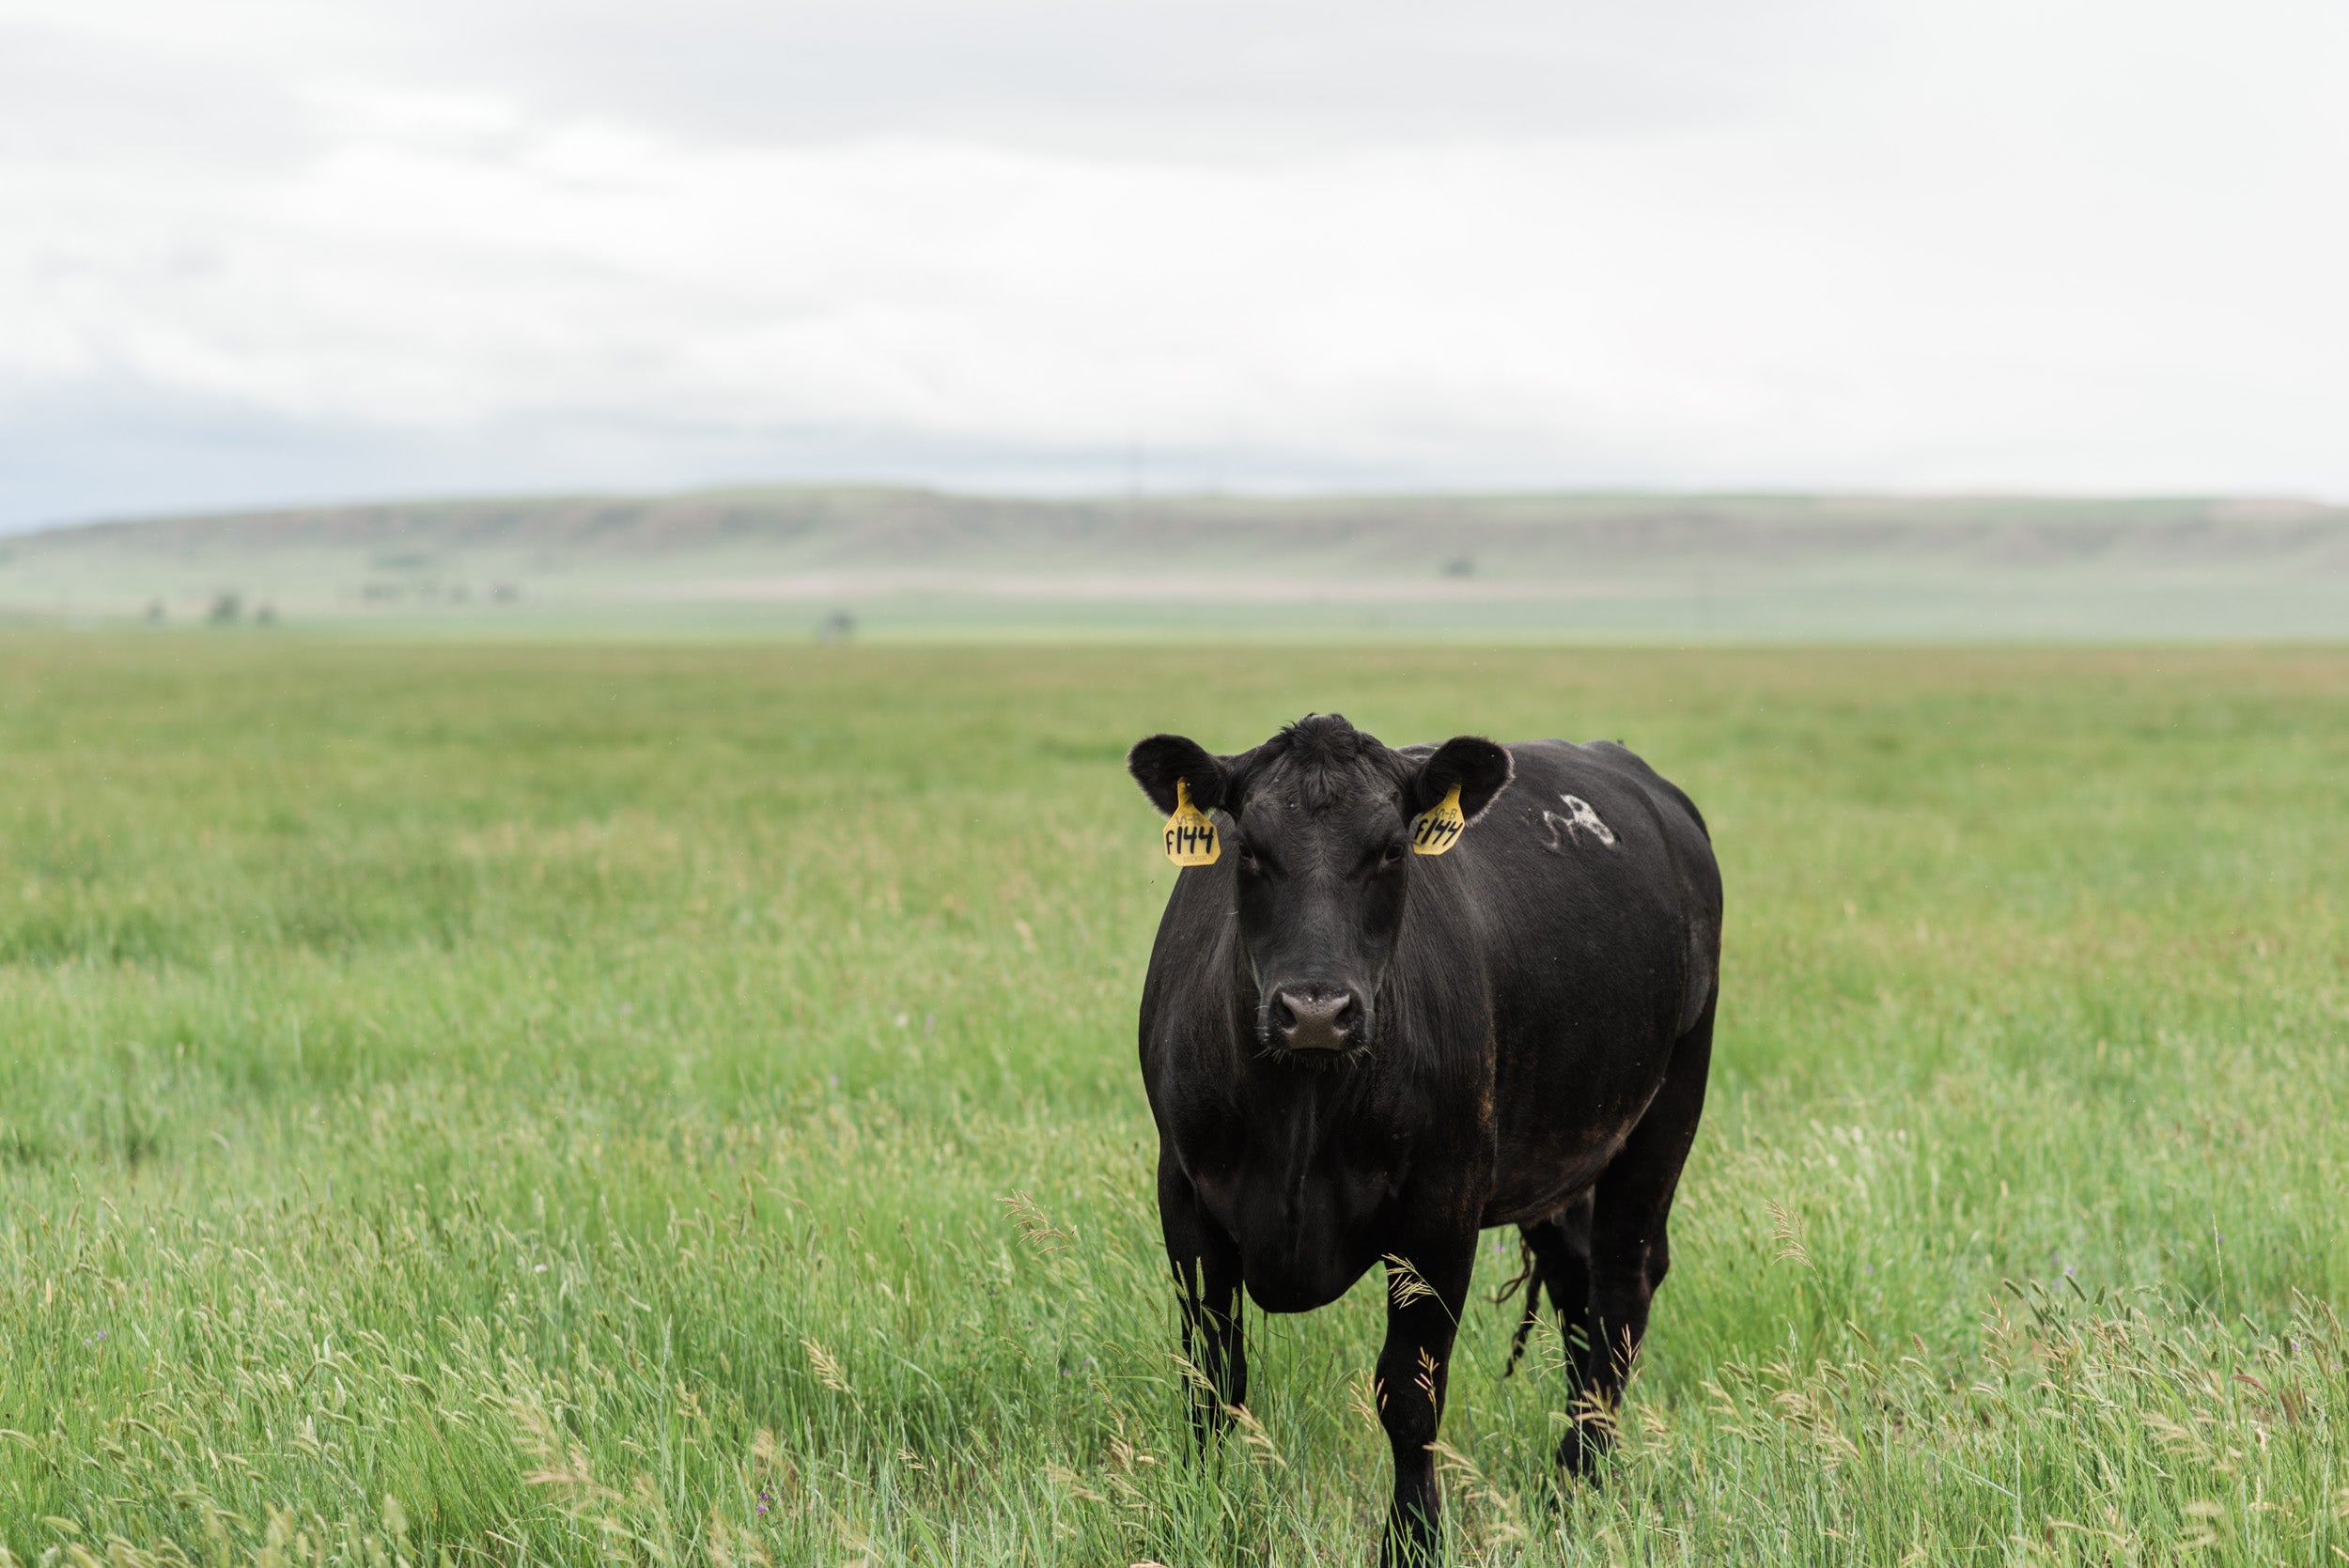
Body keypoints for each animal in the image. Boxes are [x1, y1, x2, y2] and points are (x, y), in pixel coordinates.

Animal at [1127, 714, 1721, 1565]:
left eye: (1391, 849)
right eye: (1248, 849)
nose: (1315, 1009)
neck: (1301, 1112)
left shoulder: (1443, 1208)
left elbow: (1409, 1392)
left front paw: (1413, 1540)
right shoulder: (1184, 1191)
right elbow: (1212, 1375)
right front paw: (1201, 1515)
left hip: (1665, 1110)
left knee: (1620, 1293)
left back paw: (1574, 1490)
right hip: (1558, 1157)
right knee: (1577, 1290)